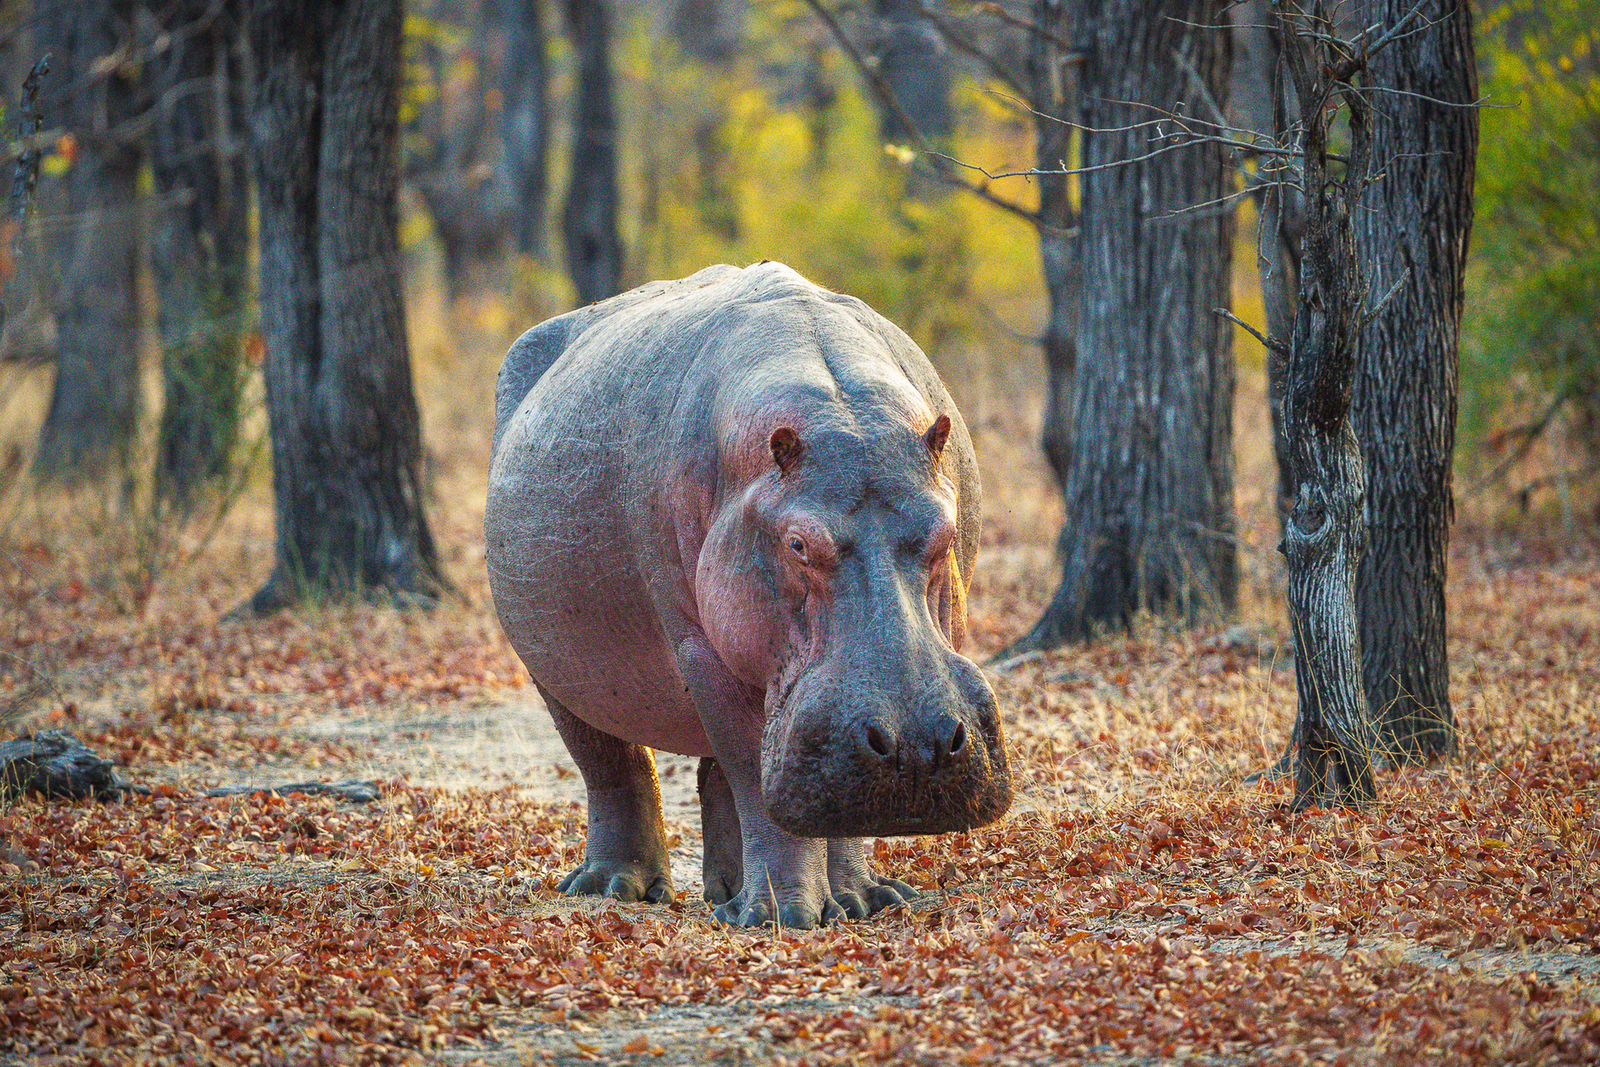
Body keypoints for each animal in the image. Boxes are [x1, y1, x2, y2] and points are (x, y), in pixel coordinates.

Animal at [485, 262, 1011, 928]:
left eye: (945, 530)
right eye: (797, 543)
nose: (918, 747)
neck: (845, 413)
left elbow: (823, 803)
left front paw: (862, 901)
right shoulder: (701, 650)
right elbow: (753, 781)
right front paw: (782, 918)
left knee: (715, 776)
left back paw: (725, 894)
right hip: (558, 670)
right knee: (613, 766)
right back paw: (612, 888)